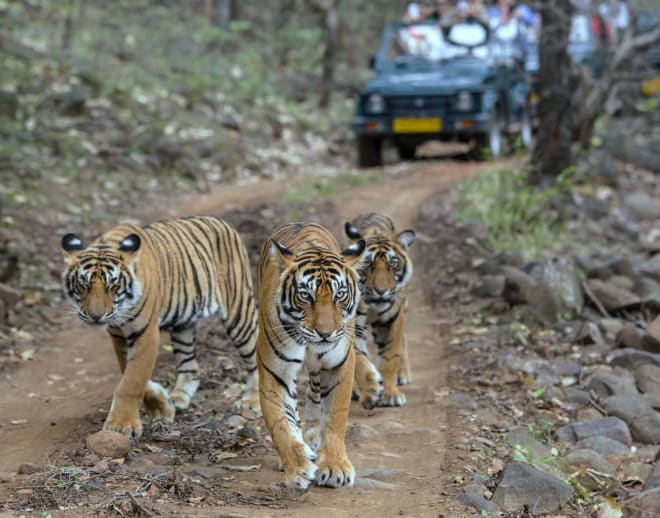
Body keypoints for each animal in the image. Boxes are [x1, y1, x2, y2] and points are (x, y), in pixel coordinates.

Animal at [60, 217, 258, 440]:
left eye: (113, 286)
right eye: (83, 285)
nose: (96, 316)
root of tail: (222, 222)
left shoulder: (145, 332)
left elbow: (132, 380)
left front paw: (120, 425)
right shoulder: (119, 335)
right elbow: (129, 372)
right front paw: (162, 406)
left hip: (239, 311)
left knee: (255, 357)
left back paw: (251, 401)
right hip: (183, 325)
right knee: (191, 366)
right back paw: (179, 398)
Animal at [255, 223, 366, 492]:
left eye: (340, 295)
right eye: (306, 296)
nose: (325, 333)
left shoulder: (339, 365)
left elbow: (335, 417)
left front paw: (335, 467)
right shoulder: (275, 372)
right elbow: (280, 423)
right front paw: (298, 468)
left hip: (319, 370)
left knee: (315, 397)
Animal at [346, 213, 412, 408]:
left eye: (393, 265)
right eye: (368, 265)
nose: (381, 291)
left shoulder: (393, 320)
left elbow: (390, 357)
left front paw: (391, 394)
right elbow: (359, 359)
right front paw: (371, 389)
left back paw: (403, 374)